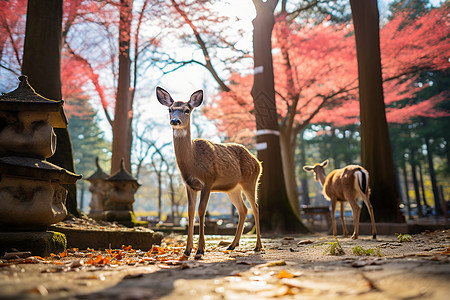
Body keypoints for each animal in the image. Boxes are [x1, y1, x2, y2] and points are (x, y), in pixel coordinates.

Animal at [156, 87, 264, 258]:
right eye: (170, 109)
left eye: (187, 110)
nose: (175, 121)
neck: (193, 161)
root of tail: (257, 162)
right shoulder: (189, 185)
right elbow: (190, 212)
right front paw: (187, 250)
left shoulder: (208, 181)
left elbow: (201, 211)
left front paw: (200, 249)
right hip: (233, 189)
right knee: (243, 210)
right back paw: (232, 245)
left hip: (250, 181)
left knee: (255, 207)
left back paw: (258, 246)